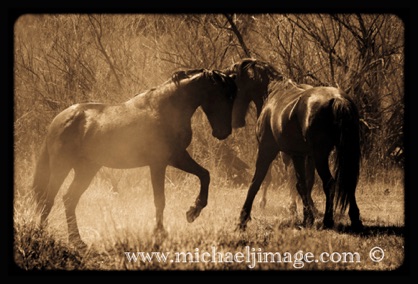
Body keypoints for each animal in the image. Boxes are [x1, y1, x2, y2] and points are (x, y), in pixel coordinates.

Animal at [31, 69, 238, 246]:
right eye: (224, 95)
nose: (223, 132)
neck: (166, 110)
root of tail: (58, 121)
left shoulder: (176, 157)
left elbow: (205, 175)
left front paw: (193, 211)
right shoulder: (158, 163)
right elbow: (160, 199)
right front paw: (160, 233)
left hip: (86, 170)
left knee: (69, 199)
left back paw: (77, 241)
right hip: (62, 167)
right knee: (48, 199)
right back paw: (43, 235)